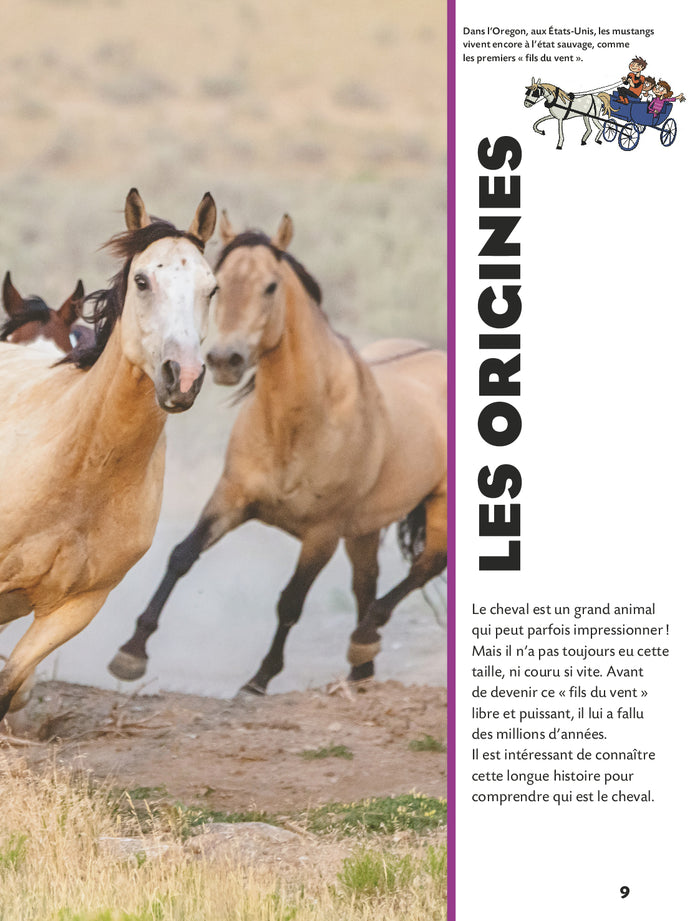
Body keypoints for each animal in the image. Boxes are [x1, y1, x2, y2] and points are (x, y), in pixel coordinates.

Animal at [108, 213, 447, 695]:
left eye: (270, 286)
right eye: (221, 284)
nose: (225, 360)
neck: (297, 425)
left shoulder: (322, 533)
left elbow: (290, 602)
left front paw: (259, 679)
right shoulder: (231, 498)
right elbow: (181, 556)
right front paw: (131, 652)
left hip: (433, 510)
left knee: (425, 566)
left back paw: (364, 638)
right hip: (364, 528)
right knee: (367, 584)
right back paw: (361, 669)